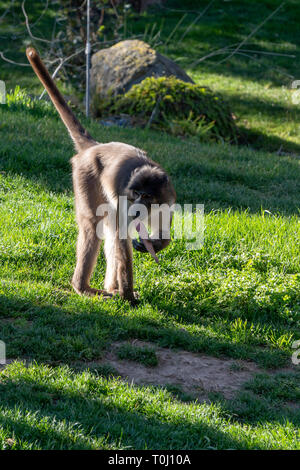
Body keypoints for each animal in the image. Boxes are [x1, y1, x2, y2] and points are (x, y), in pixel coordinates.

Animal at [26, 46, 176, 302]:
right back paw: (84, 288)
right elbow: (121, 241)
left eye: (146, 196)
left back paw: (110, 288)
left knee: (108, 232)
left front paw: (155, 246)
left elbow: (162, 231)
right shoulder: (125, 200)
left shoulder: (167, 199)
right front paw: (128, 297)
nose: (137, 205)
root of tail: (95, 147)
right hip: (85, 174)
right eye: (136, 193)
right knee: (93, 227)